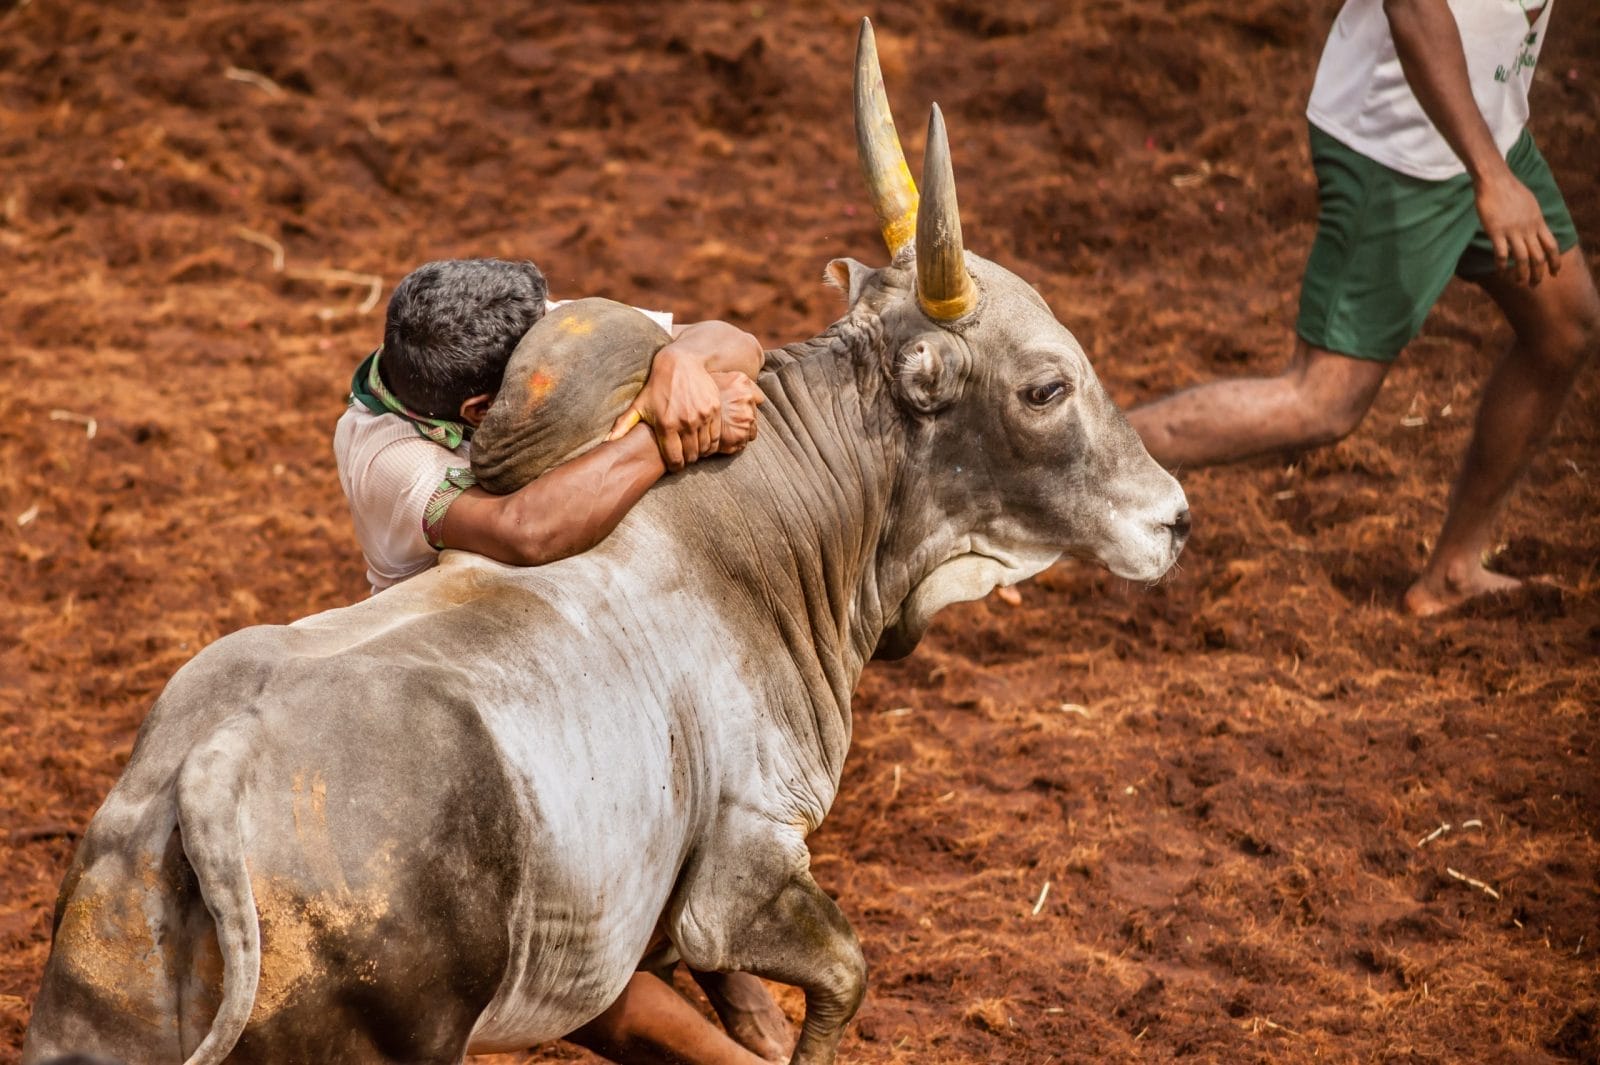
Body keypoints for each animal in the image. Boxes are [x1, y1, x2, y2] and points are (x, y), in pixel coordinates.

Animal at [22, 20, 1188, 1065]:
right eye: (1045, 387)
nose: (1172, 518)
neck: (778, 528)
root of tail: (202, 774)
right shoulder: (744, 875)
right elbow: (843, 976)